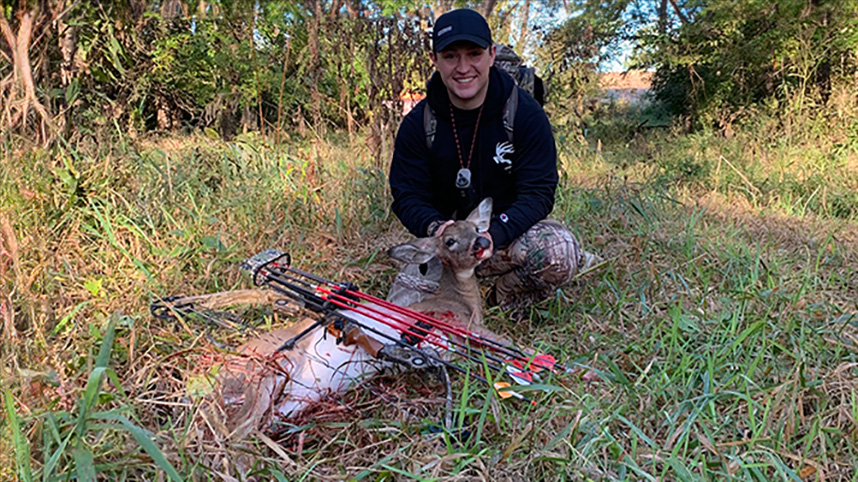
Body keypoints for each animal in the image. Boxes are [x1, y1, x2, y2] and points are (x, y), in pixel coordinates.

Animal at [210, 198, 502, 437]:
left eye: (477, 229)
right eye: (450, 241)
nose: (483, 243)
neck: (461, 299)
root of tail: (217, 377)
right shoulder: (460, 325)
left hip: (297, 396)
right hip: (263, 371)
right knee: (238, 432)